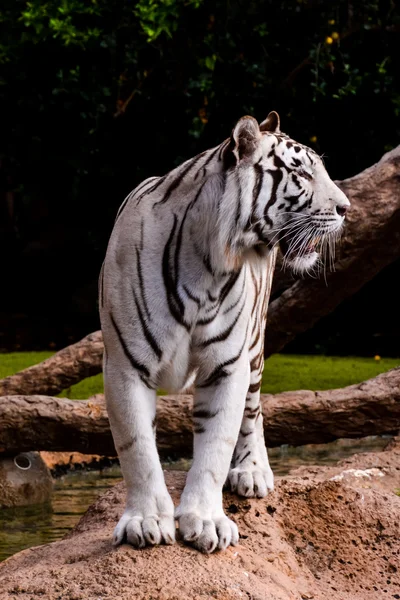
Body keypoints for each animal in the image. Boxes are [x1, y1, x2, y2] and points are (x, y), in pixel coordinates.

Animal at [98, 111, 348, 552]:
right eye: (302, 172)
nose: (347, 208)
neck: (208, 265)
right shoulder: (125, 365)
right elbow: (136, 448)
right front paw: (145, 521)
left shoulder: (227, 365)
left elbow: (216, 446)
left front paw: (206, 521)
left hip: (255, 345)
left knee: (253, 409)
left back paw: (252, 471)